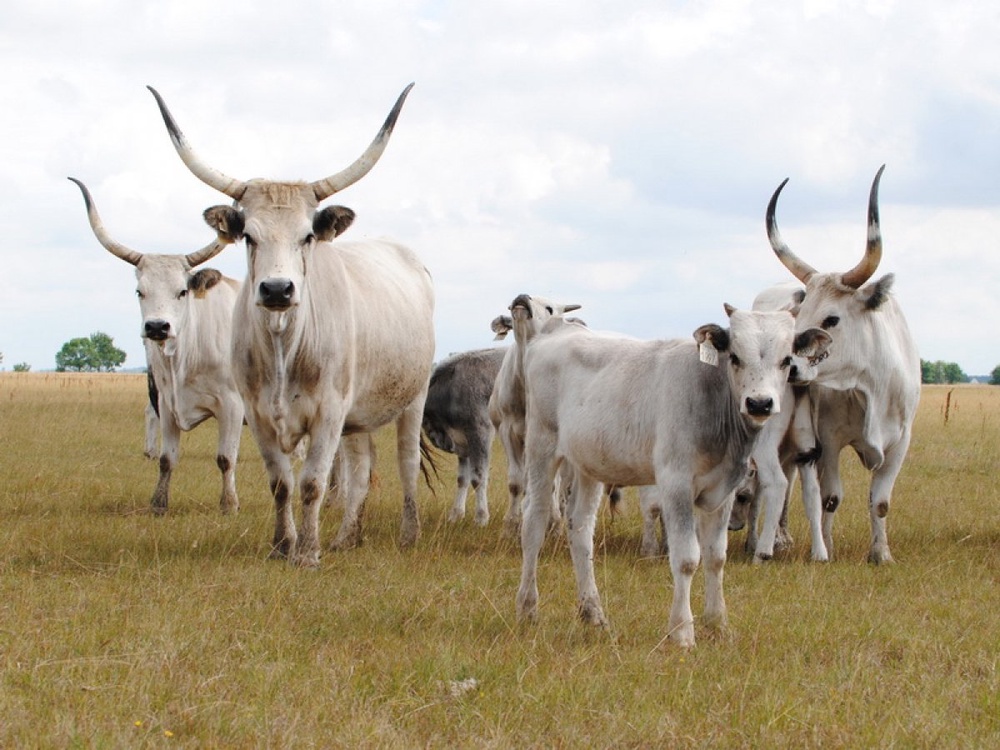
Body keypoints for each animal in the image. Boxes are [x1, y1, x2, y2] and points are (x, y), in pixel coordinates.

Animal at [69, 179, 242, 516]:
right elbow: (167, 459)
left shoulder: (232, 404)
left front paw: (229, 505)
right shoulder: (166, 402)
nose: (157, 327)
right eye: (140, 291)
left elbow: (225, 459)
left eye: (182, 291)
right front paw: (159, 504)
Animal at [146, 83, 436, 564]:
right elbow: (281, 483)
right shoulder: (257, 411)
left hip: (411, 398)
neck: (284, 345)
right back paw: (347, 536)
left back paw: (409, 534)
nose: (278, 289)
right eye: (248, 236)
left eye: (308, 235)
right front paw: (283, 546)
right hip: (358, 414)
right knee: (361, 467)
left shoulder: (328, 412)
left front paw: (308, 553)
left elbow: (313, 483)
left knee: (406, 462)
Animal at [764, 164, 920, 564]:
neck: (871, 385)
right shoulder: (829, 441)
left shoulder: (901, 443)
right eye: (799, 315)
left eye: (832, 319)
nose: (790, 369)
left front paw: (881, 554)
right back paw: (781, 538)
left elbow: (880, 501)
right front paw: (828, 548)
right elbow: (830, 497)